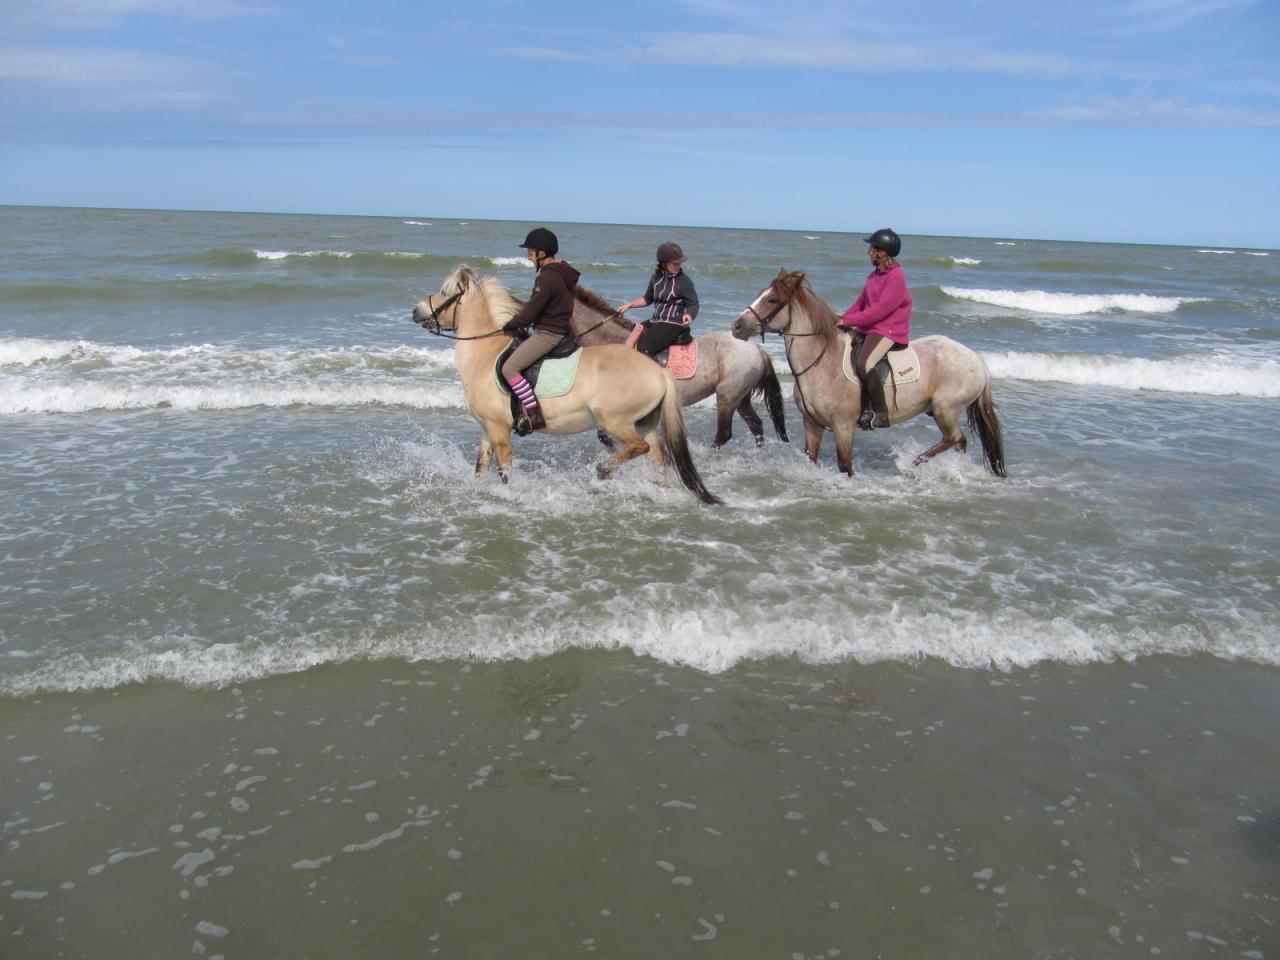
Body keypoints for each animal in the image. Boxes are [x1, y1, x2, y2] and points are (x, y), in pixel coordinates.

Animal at [414, 263, 727, 504]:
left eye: (445, 293)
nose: (416, 311)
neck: (486, 354)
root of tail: (659, 372)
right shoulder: (486, 430)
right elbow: (481, 468)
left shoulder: (499, 430)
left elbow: (505, 472)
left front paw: (513, 496)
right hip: (644, 422)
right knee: (658, 456)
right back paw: (657, 489)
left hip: (616, 421)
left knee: (640, 448)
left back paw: (603, 471)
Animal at [737, 268, 1003, 478]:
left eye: (772, 300)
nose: (737, 326)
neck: (823, 361)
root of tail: (977, 360)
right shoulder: (812, 424)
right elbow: (811, 458)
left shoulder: (843, 427)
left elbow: (845, 466)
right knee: (959, 441)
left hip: (945, 410)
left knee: (953, 438)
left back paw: (915, 464)